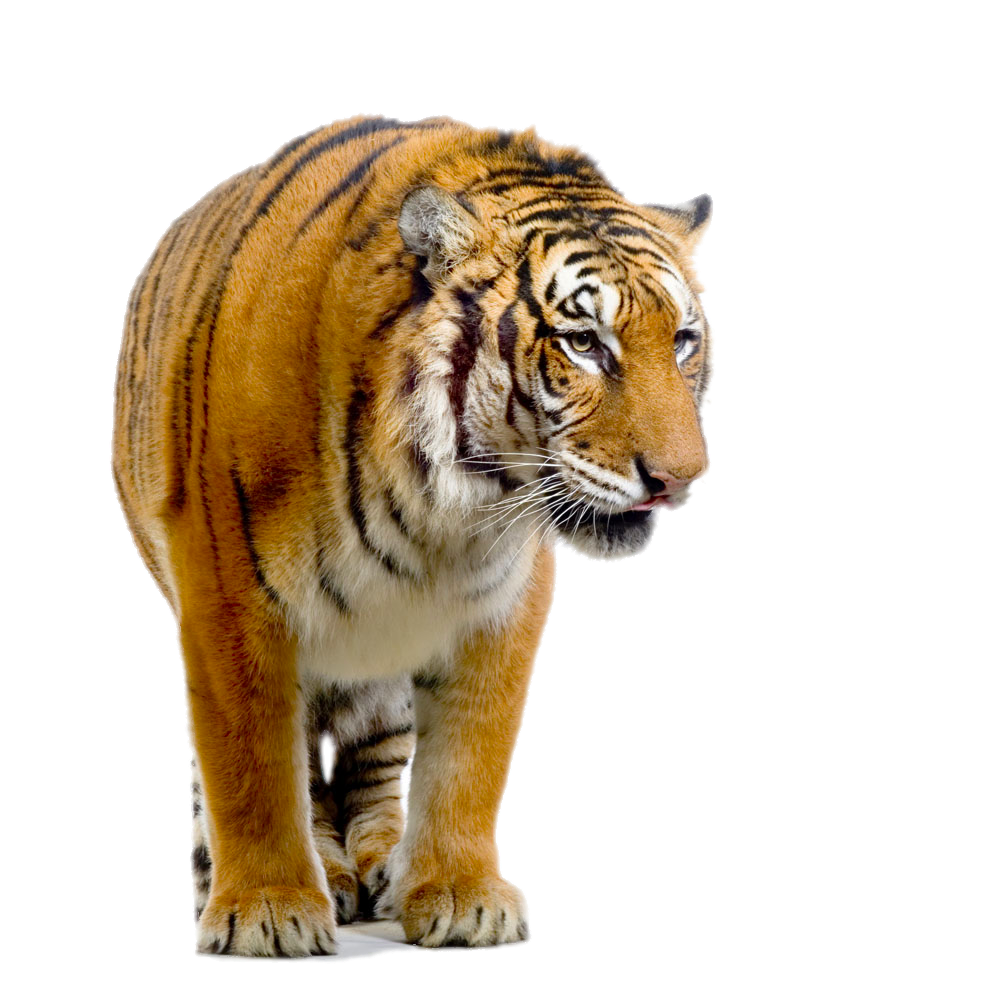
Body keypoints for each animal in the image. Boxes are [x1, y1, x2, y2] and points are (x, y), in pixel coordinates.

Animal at [110, 113, 714, 960]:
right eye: (585, 343)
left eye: (684, 340)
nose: (683, 478)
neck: (442, 507)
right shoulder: (226, 591)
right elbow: (250, 759)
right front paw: (268, 909)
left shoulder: (506, 597)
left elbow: (473, 753)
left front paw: (461, 897)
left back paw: (374, 868)